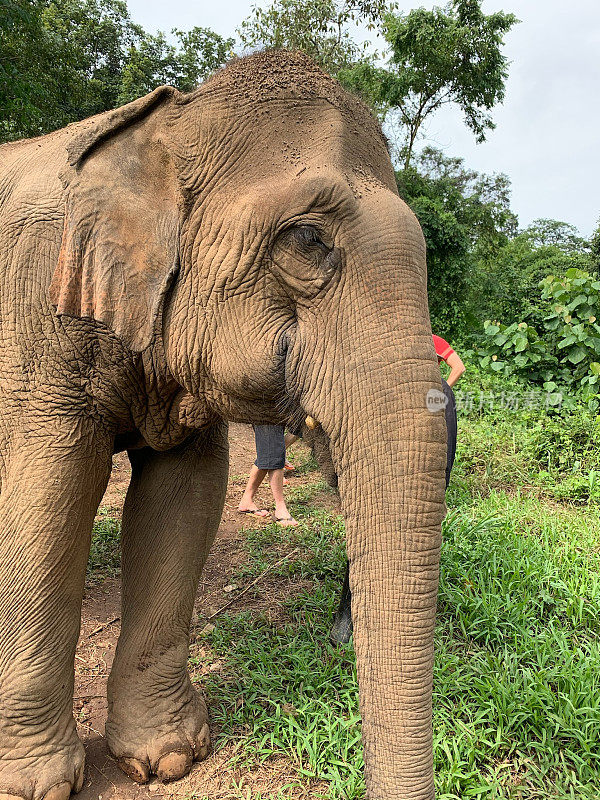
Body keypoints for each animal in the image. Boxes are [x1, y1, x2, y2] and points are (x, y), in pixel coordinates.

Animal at [0, 50, 448, 800]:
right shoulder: (45, 323)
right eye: (307, 239)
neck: (168, 122)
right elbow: (47, 498)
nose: (340, 627)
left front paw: (167, 759)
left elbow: (183, 499)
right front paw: (32, 785)